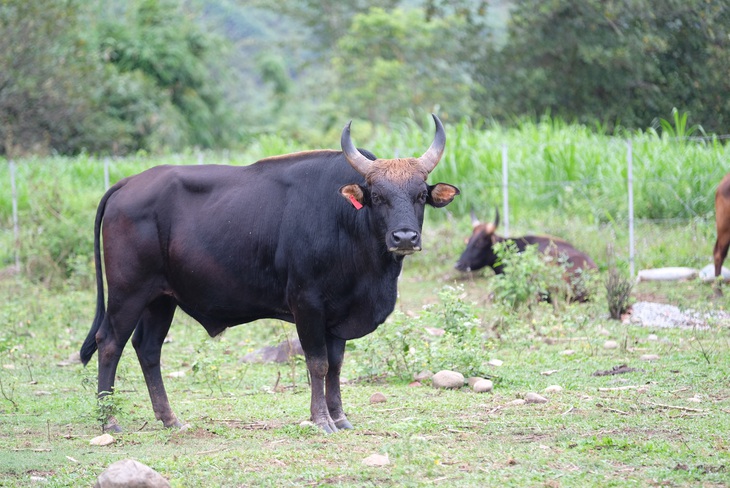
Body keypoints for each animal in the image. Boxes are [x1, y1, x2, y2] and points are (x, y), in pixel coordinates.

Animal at [79, 115, 456, 434]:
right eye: (377, 196)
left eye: (419, 195)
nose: (404, 237)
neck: (345, 223)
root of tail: (127, 183)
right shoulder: (307, 305)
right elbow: (317, 364)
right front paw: (321, 420)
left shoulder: (338, 316)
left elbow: (336, 366)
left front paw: (340, 417)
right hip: (128, 292)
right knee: (109, 343)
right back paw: (109, 421)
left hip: (160, 299)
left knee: (148, 348)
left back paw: (171, 419)